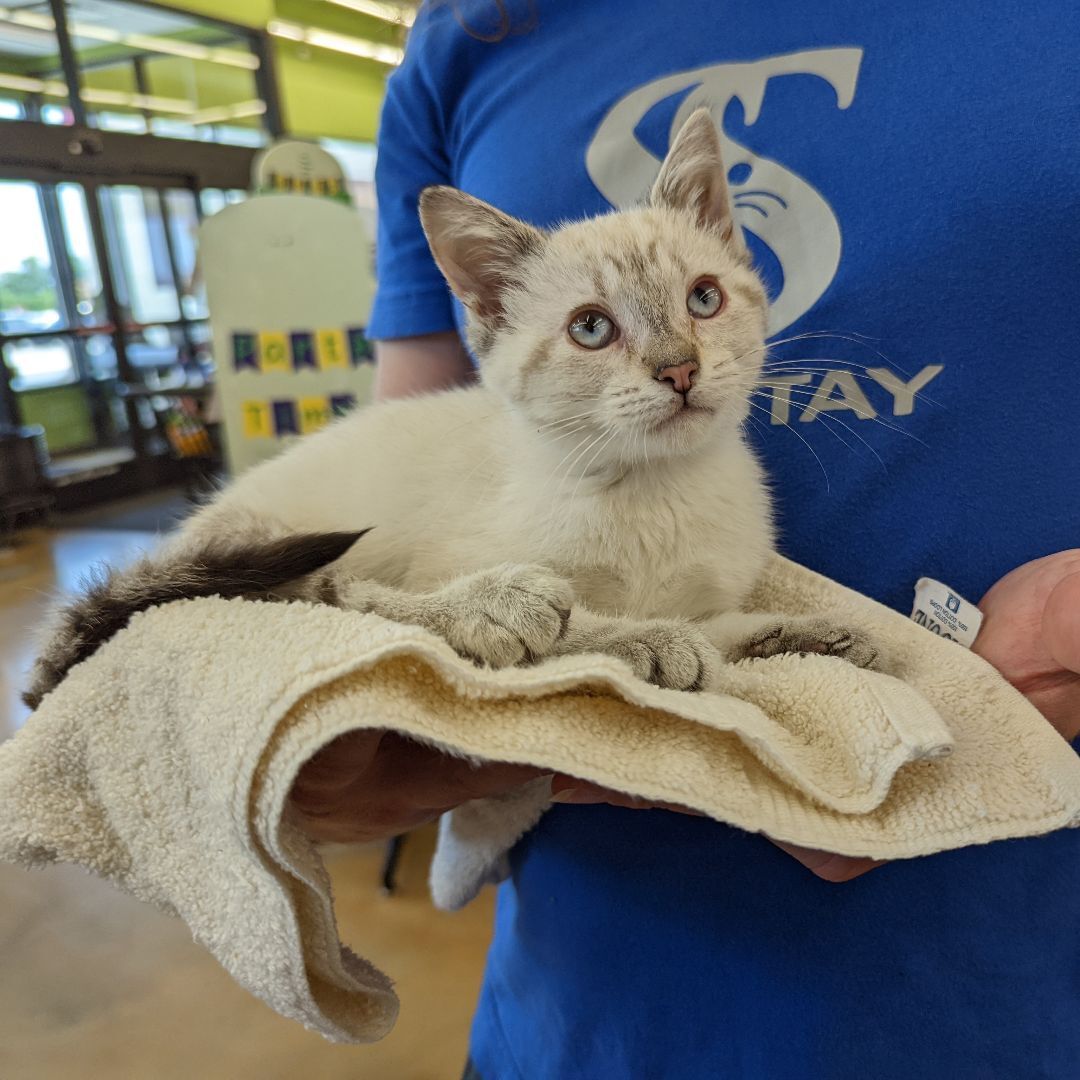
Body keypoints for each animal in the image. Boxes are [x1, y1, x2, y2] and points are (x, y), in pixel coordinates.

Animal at [23, 111, 876, 708]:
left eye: (703, 299)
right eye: (591, 329)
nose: (680, 369)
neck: (654, 491)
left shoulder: (710, 593)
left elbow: (722, 629)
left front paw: (814, 636)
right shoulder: (464, 552)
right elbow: (584, 622)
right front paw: (643, 640)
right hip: (281, 547)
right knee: (334, 596)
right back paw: (490, 607)